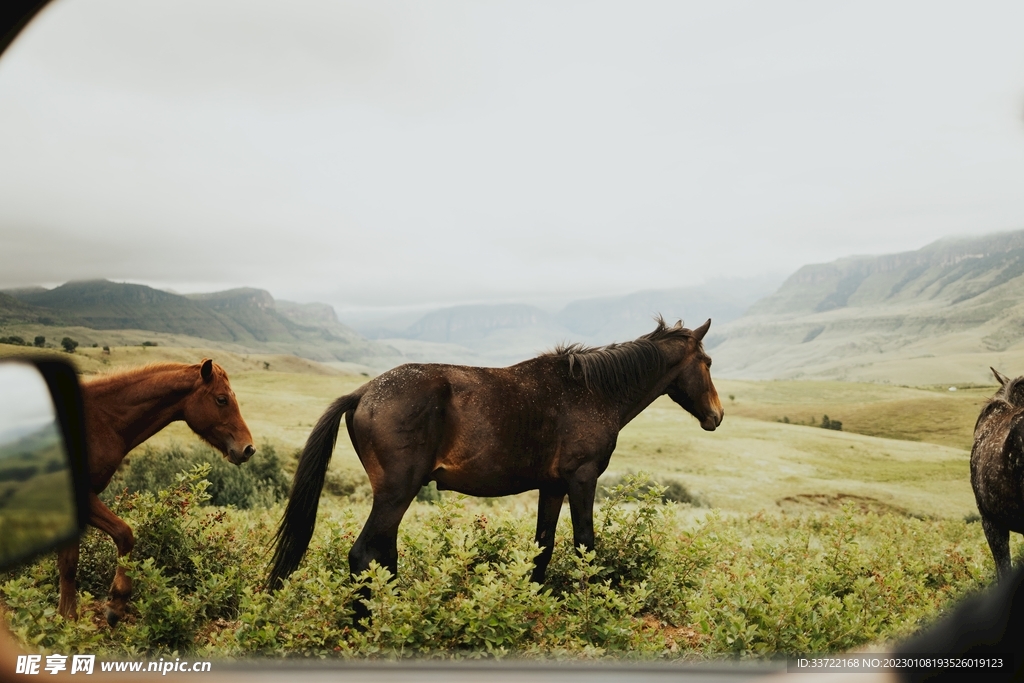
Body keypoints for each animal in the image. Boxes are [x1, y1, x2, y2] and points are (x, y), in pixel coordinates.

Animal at [57, 359, 255, 626]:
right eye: (222, 399)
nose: (248, 449)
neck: (100, 419)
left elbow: (68, 564)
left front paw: (65, 619)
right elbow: (124, 534)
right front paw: (115, 603)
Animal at [268, 317, 723, 601]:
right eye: (707, 362)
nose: (717, 416)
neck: (592, 392)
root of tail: (362, 393)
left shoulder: (552, 486)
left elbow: (542, 547)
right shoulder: (582, 479)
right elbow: (584, 545)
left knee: (382, 554)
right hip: (397, 492)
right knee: (365, 555)